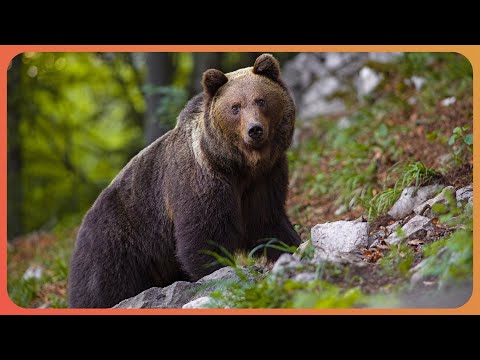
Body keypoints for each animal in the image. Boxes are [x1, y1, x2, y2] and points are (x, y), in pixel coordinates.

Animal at [67, 52, 300, 306]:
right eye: (235, 107)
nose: (254, 129)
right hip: (115, 245)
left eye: (261, 100)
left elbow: (266, 221)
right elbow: (204, 236)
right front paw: (219, 273)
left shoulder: (264, 179)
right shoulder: (202, 181)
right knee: (101, 288)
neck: (237, 165)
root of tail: (81, 225)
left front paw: (291, 247)